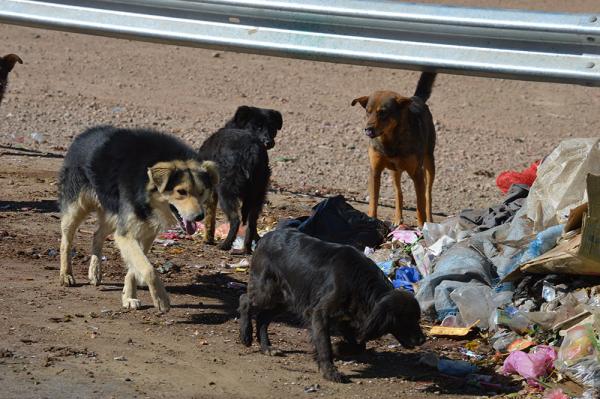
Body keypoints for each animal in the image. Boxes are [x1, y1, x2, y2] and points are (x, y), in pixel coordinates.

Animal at [57, 126, 218, 314]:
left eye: (201, 191)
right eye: (181, 192)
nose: (199, 216)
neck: (146, 189)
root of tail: (85, 133)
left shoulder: (146, 231)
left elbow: (135, 268)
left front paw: (129, 297)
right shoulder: (127, 233)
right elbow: (148, 268)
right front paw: (161, 299)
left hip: (113, 215)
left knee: (97, 235)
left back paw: (95, 271)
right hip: (77, 208)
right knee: (66, 241)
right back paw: (66, 274)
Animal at [237, 228, 424, 382]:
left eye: (417, 318)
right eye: (406, 319)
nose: (423, 340)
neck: (360, 282)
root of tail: (264, 238)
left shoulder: (347, 318)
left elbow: (359, 346)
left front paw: (338, 349)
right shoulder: (320, 314)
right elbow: (324, 344)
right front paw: (330, 371)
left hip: (285, 299)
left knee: (262, 317)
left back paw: (266, 347)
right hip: (267, 292)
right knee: (244, 299)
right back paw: (245, 335)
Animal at [352, 72, 436, 228]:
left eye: (383, 113)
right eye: (368, 112)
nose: (368, 130)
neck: (389, 139)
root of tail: (415, 98)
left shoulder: (417, 173)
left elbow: (420, 204)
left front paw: (422, 226)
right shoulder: (375, 170)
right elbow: (374, 201)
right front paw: (371, 219)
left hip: (429, 161)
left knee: (428, 195)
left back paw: (430, 220)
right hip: (394, 171)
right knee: (398, 193)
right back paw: (398, 219)